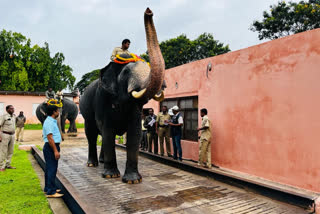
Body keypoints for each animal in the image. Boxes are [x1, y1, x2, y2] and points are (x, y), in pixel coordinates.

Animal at [79, 7, 165, 183]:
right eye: (126, 72)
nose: (148, 11)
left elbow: (135, 132)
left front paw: (133, 180)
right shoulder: (102, 98)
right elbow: (107, 130)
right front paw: (111, 176)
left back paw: (102, 162)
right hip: (86, 112)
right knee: (92, 135)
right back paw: (92, 164)